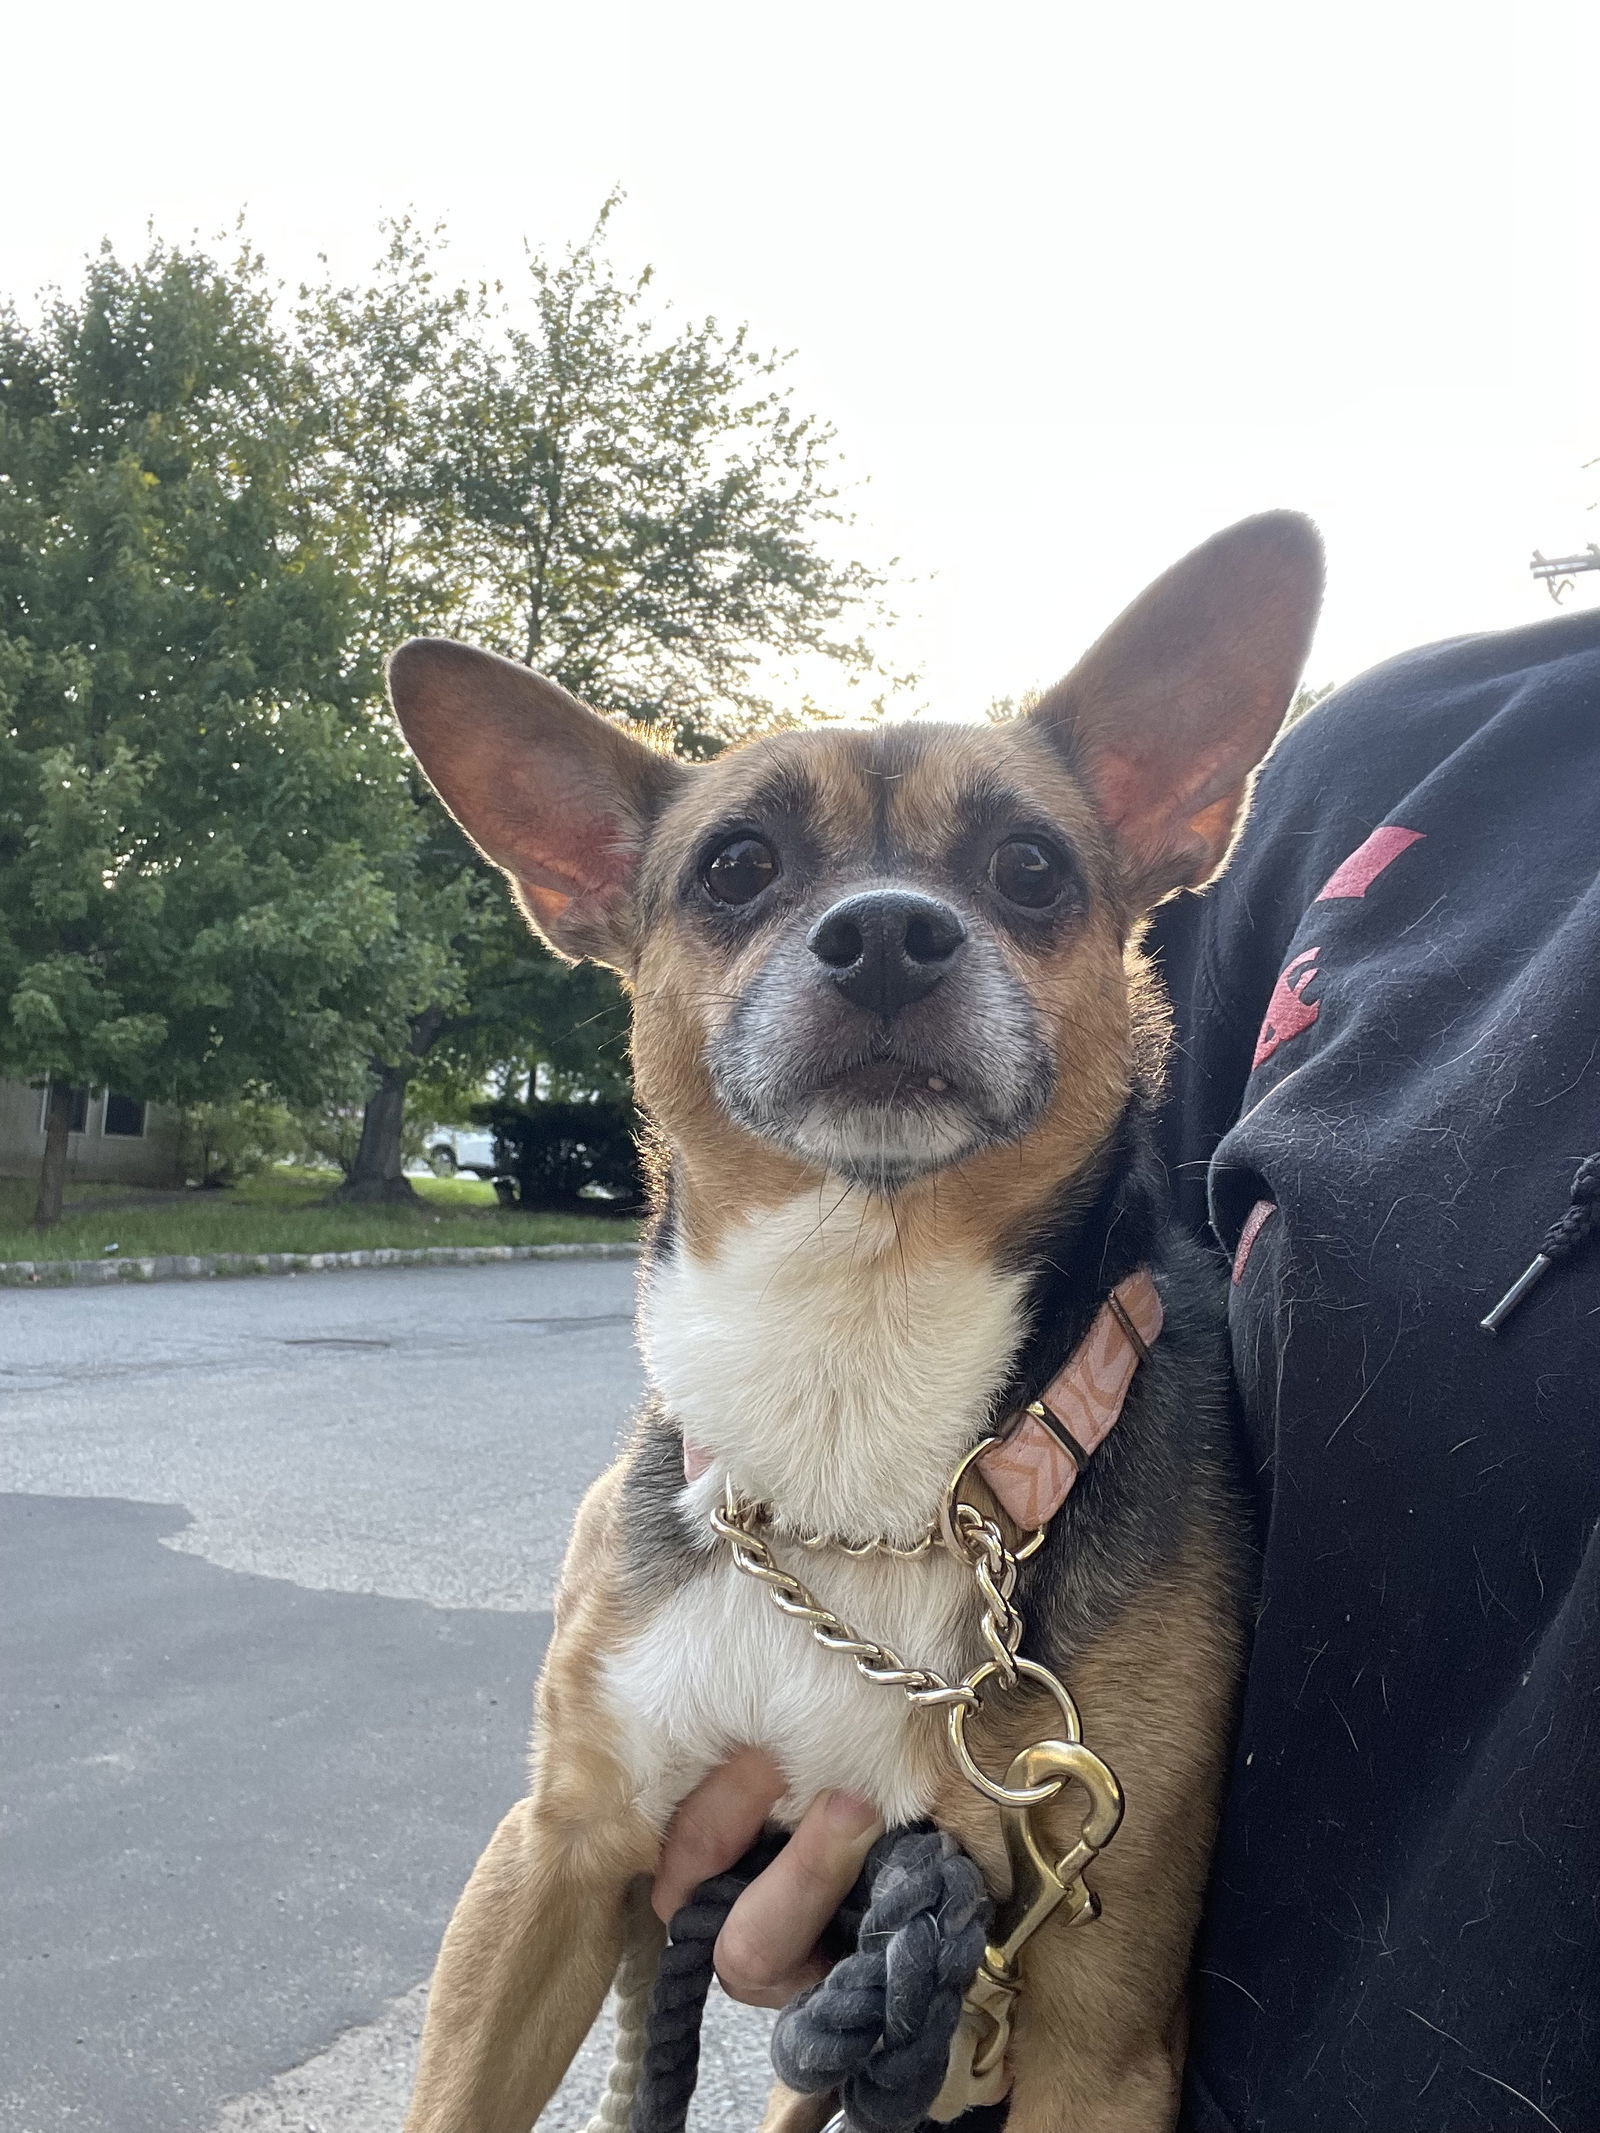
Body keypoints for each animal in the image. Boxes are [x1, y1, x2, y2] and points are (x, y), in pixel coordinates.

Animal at [388, 511, 1331, 2133]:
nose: (888, 932)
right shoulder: (552, 1860)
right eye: (736, 865)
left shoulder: (1098, 2028)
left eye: (1028, 866)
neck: (852, 1372)